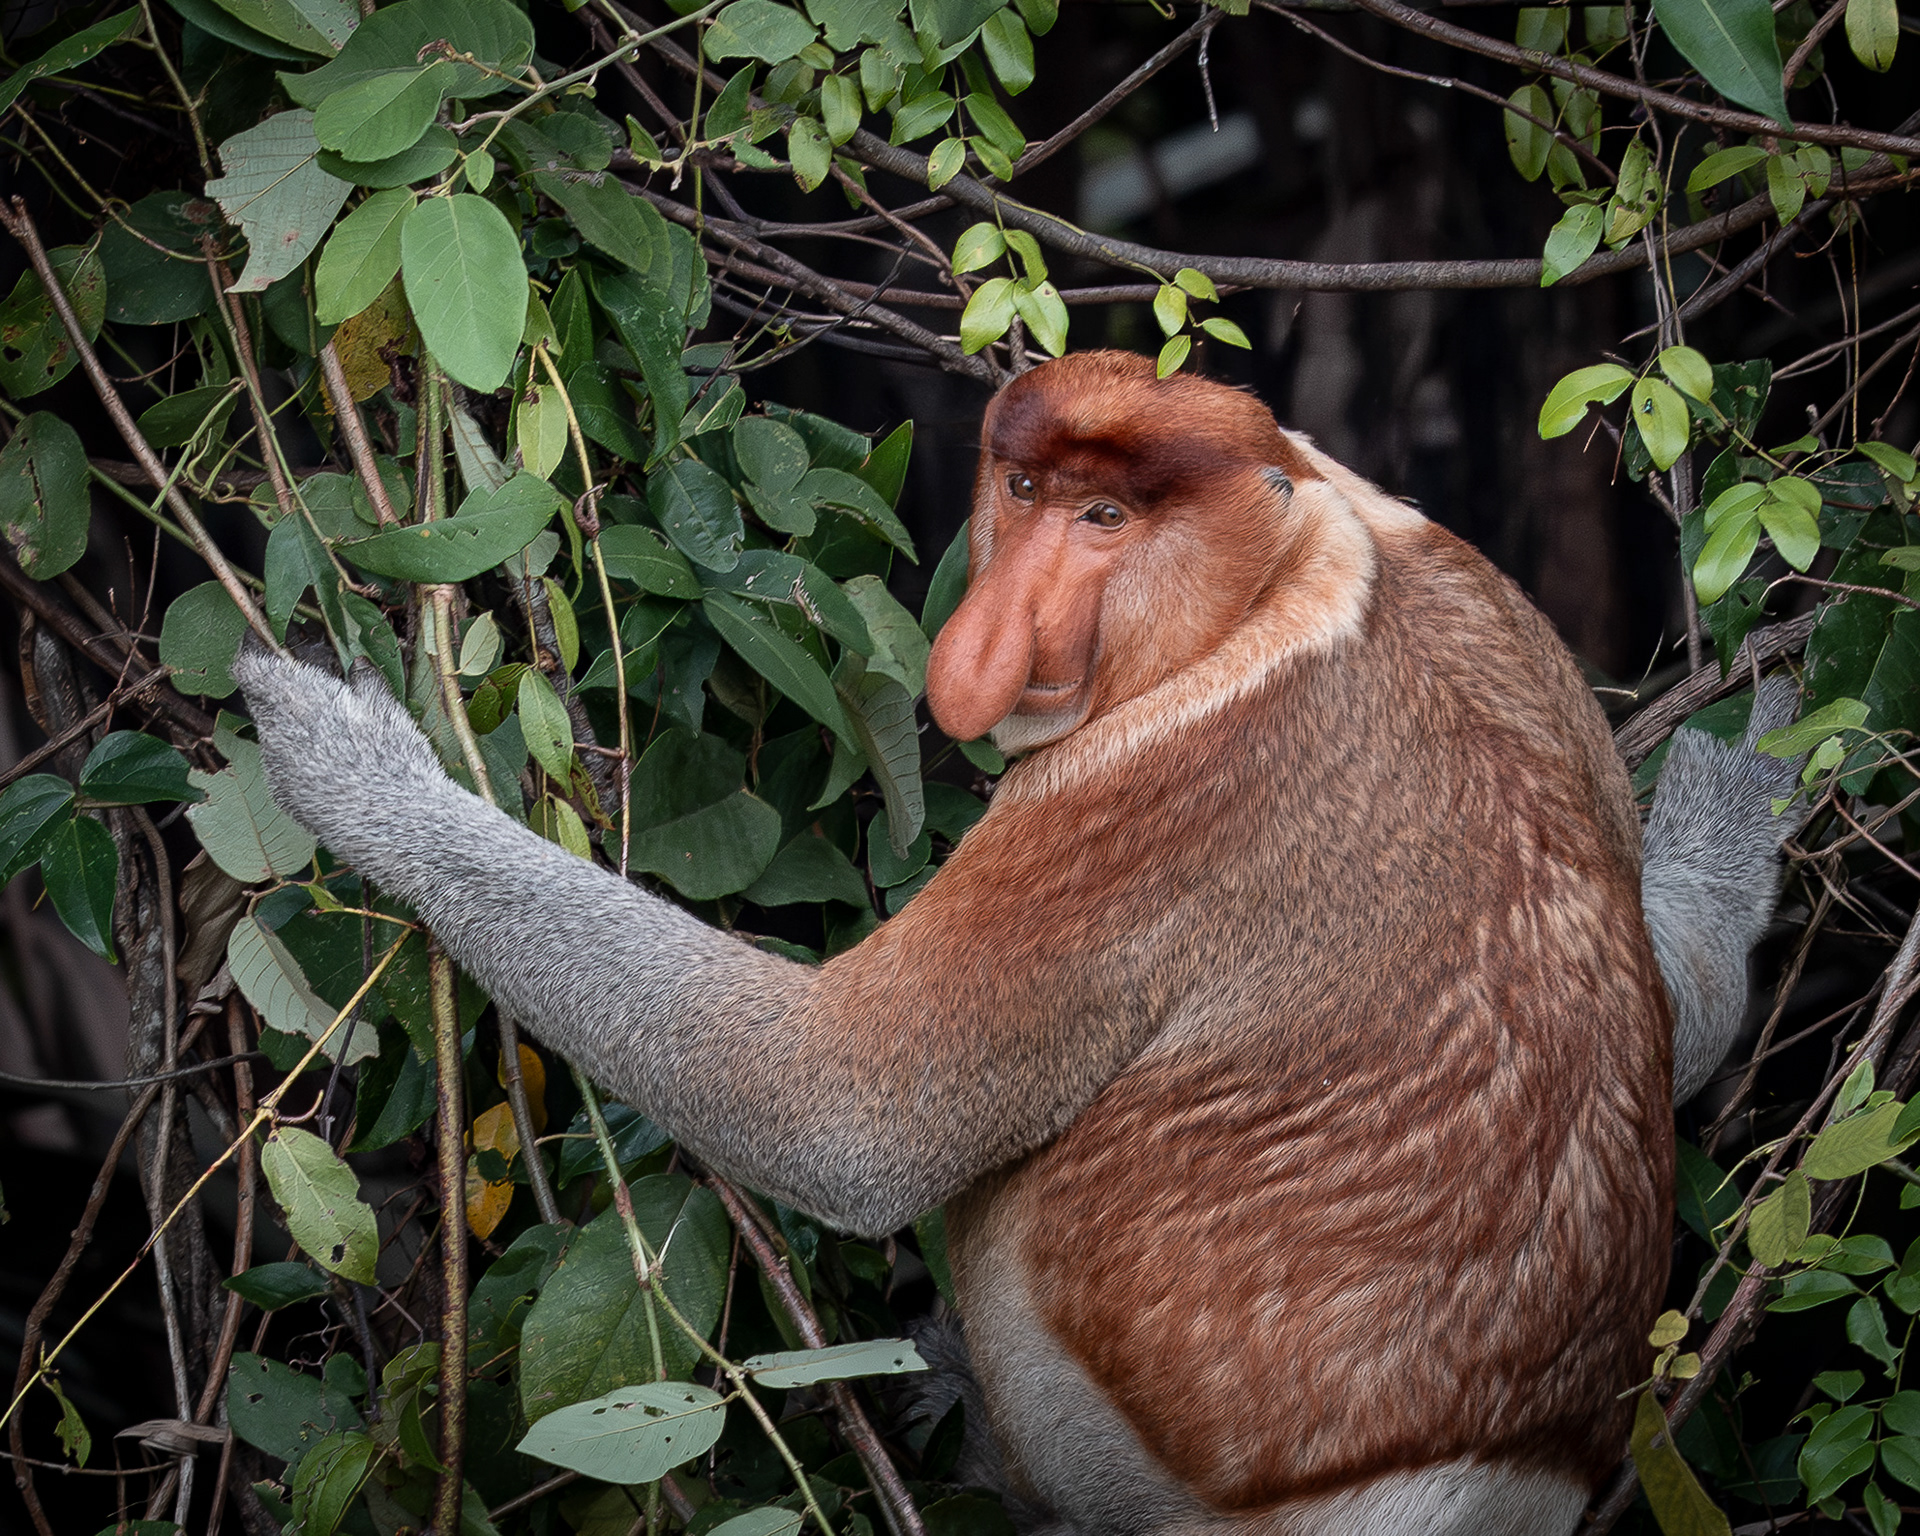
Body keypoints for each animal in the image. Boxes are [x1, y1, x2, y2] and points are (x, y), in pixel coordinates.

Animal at [236, 350, 1800, 1535]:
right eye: (1029, 491)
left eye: (1108, 519)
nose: (984, 646)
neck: (1299, 568)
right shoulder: (1495, 606)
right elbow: (1676, 1007)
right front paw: (1748, 772)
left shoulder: (1147, 803)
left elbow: (841, 1113)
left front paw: (358, 776)